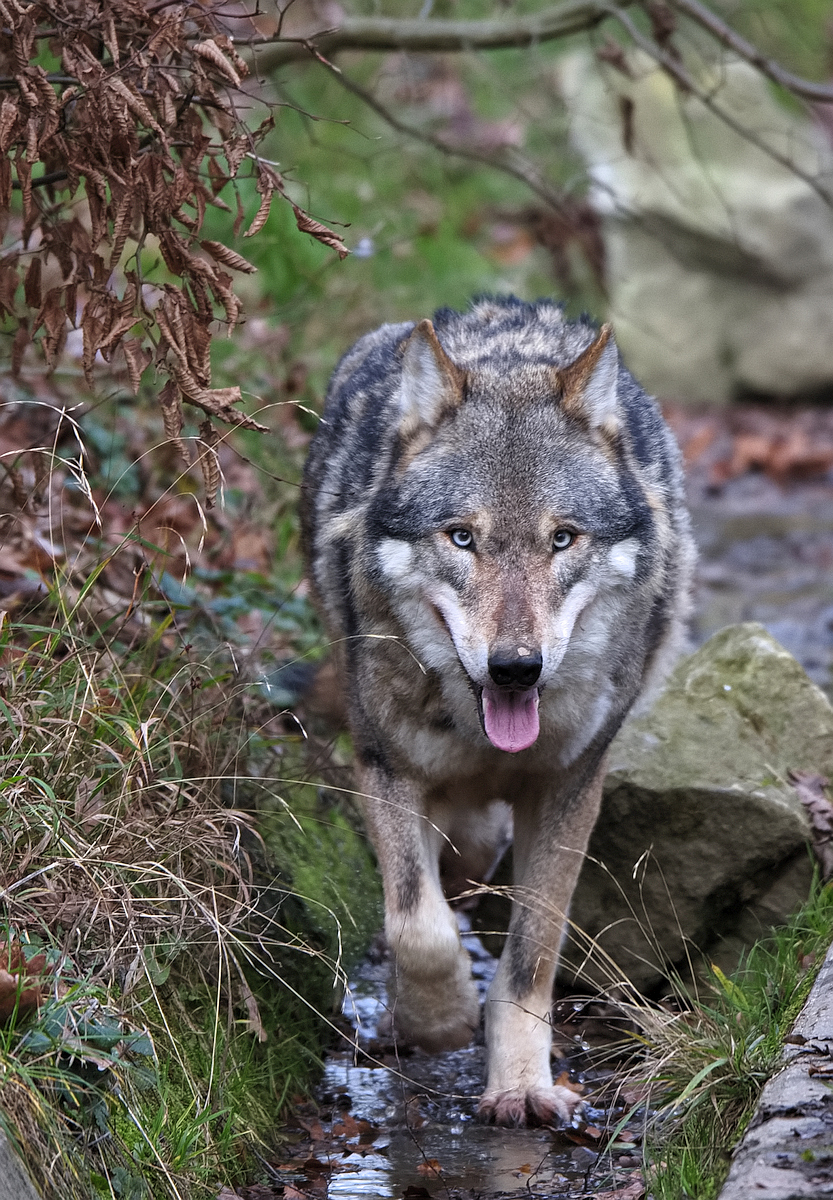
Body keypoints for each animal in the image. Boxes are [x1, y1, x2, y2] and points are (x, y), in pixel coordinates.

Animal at [301, 297, 694, 1126]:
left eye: (561, 539)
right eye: (461, 537)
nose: (517, 667)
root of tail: (504, 308)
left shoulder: (569, 786)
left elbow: (531, 953)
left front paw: (517, 1085)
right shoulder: (384, 765)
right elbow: (415, 924)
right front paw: (440, 1022)